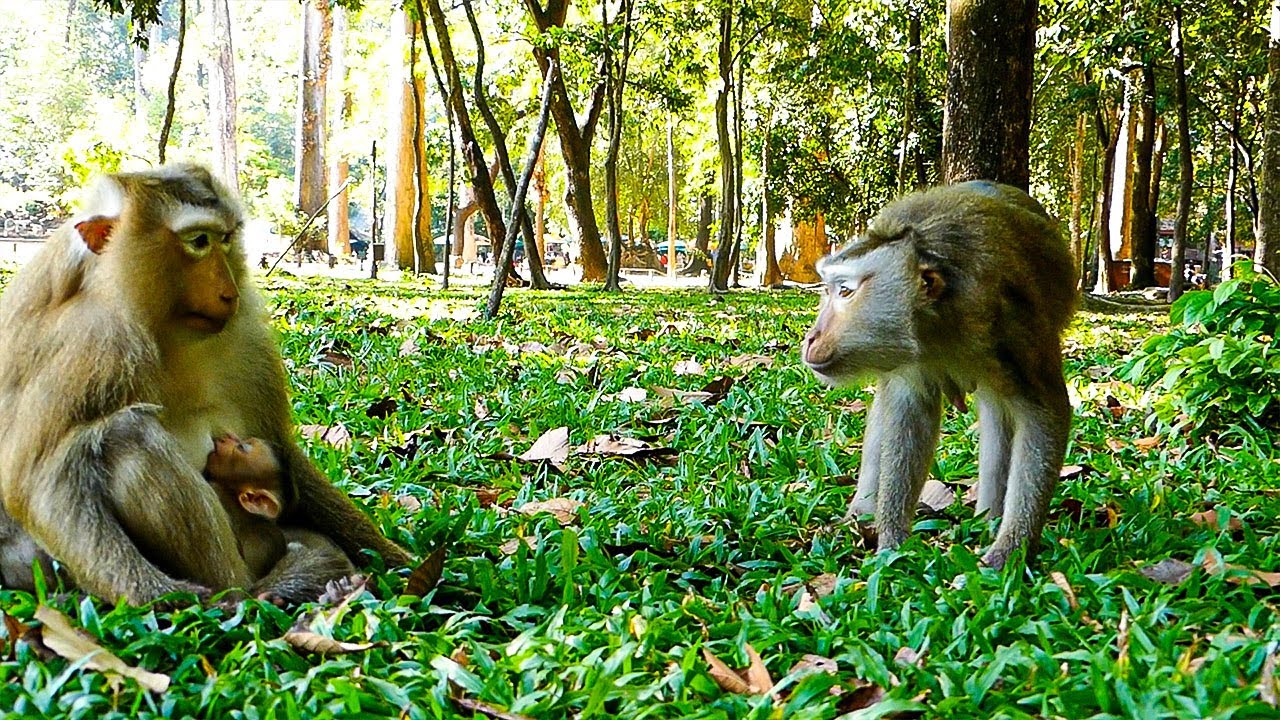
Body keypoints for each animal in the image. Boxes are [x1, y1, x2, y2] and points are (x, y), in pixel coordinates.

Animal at [0, 164, 410, 604]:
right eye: (198, 242)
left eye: (225, 238)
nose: (228, 292)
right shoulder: (92, 341)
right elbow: (38, 484)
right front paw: (165, 598)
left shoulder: (244, 340)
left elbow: (275, 443)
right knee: (128, 436)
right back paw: (247, 595)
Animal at [802, 180, 1076, 570]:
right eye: (827, 290)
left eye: (844, 291)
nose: (811, 336)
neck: (939, 320)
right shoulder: (909, 358)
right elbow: (907, 417)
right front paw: (892, 543)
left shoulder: (1015, 327)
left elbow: (1044, 414)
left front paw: (1010, 550)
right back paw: (861, 515)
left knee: (999, 412)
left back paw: (988, 519)